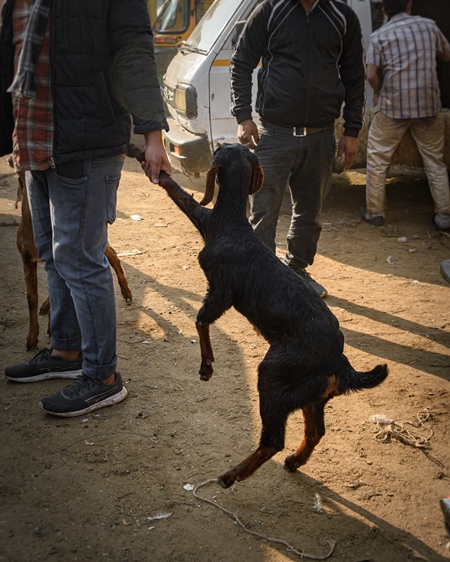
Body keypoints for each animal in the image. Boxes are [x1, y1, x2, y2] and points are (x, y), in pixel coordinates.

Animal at [126, 141, 386, 486]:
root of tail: (338, 362)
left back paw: (233, 474)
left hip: (273, 376)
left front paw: (207, 366)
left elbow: (201, 318)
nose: (223, 142)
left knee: (273, 439)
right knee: (315, 431)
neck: (233, 225)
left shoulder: (222, 291)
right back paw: (294, 461)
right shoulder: (205, 222)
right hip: (311, 396)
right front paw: (138, 152)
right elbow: (176, 190)